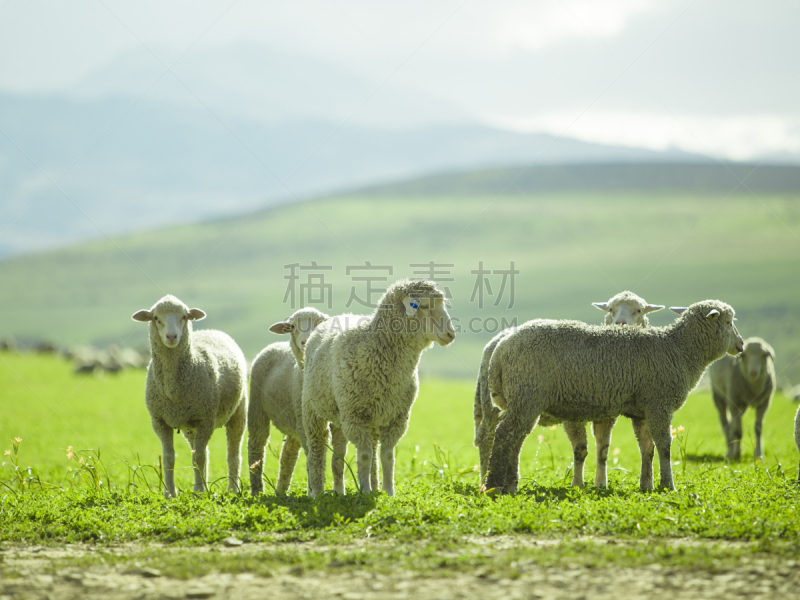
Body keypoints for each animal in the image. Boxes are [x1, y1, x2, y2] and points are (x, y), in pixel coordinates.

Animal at [131, 296, 247, 496]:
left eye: (184, 317)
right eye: (156, 318)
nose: (171, 337)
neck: (173, 390)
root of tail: (213, 331)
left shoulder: (205, 419)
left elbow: (198, 458)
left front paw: (199, 492)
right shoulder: (160, 421)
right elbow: (169, 457)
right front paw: (170, 493)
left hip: (237, 412)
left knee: (232, 454)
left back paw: (232, 489)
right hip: (190, 426)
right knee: (203, 452)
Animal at [247, 308, 328, 494]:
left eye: (319, 323)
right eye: (292, 326)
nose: (305, 341)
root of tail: (275, 344)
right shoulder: (306, 423)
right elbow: (312, 454)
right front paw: (314, 490)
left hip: (294, 419)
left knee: (288, 454)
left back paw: (281, 491)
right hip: (257, 408)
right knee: (256, 445)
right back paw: (257, 491)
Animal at [304, 278, 456, 494]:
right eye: (424, 306)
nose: (451, 334)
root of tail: (339, 316)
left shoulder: (397, 417)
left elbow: (387, 456)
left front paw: (388, 491)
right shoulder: (355, 416)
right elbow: (365, 456)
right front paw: (365, 491)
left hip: (352, 415)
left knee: (340, 457)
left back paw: (342, 491)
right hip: (313, 409)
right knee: (317, 446)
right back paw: (316, 493)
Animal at [472, 290, 664, 488]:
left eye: (639, 310)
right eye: (611, 309)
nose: (621, 323)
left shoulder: (607, 414)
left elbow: (603, 450)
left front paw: (600, 483)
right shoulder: (573, 413)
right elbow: (581, 449)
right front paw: (577, 484)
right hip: (493, 404)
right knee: (487, 438)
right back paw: (485, 478)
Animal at [484, 300, 748, 492]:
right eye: (728, 321)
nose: (742, 344)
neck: (679, 349)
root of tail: (500, 348)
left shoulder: (643, 410)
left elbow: (647, 448)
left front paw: (646, 485)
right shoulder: (659, 403)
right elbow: (664, 446)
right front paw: (668, 485)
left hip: (524, 400)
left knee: (515, 440)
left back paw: (510, 485)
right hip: (527, 395)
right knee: (505, 435)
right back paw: (493, 486)